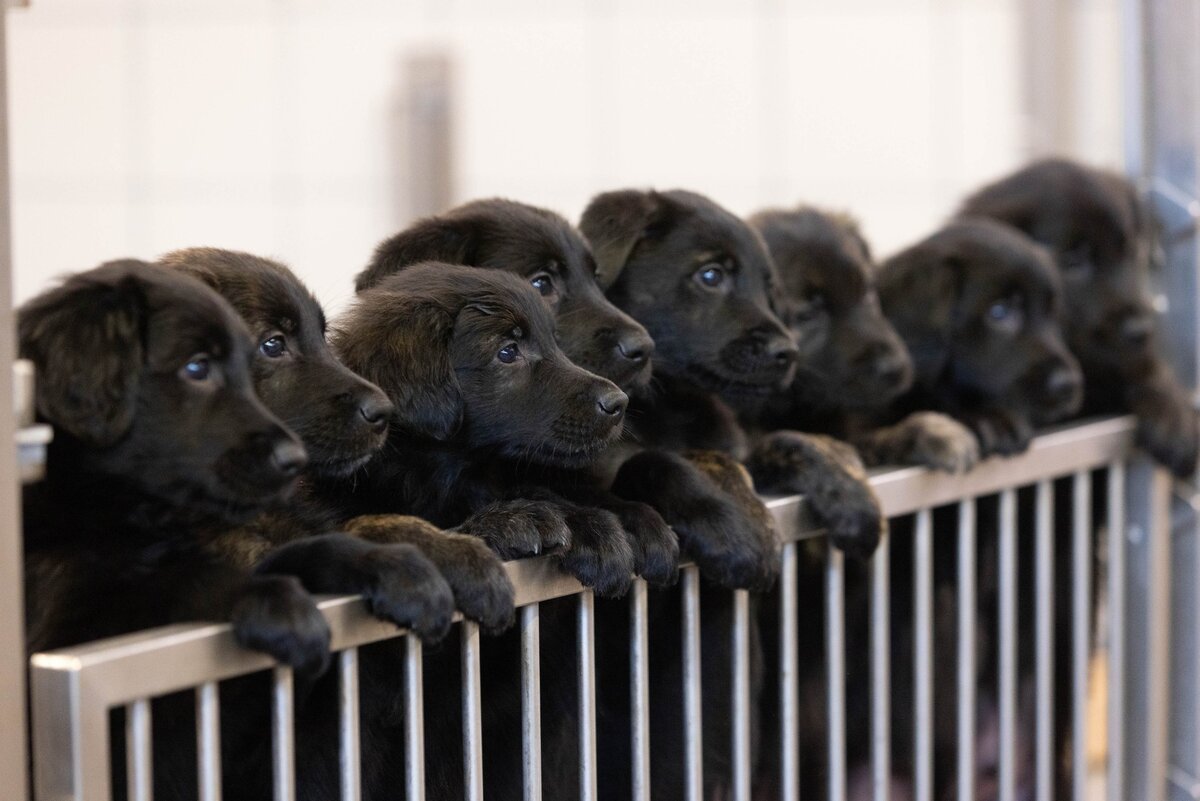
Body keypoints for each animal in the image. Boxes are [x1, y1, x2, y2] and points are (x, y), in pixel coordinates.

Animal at [955, 155, 1200, 474]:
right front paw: (984, 417)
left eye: (1130, 252)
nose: (1141, 330)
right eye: (1072, 260)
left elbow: (1142, 367)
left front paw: (1173, 410)